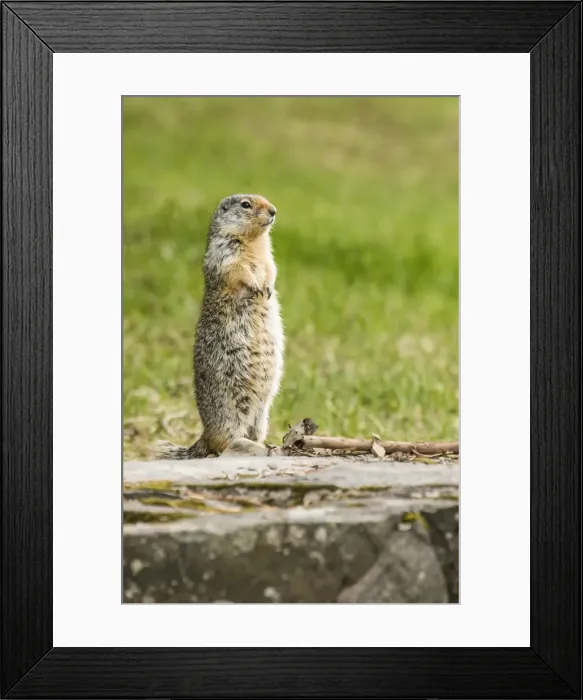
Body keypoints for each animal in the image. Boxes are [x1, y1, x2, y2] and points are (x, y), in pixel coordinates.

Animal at [157, 193, 284, 459]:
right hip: (231, 419)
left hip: (260, 420)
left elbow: (271, 269)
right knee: (222, 446)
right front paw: (256, 287)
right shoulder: (226, 253)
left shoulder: (268, 257)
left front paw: (267, 287)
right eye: (246, 204)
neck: (254, 241)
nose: (274, 211)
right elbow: (238, 270)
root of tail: (204, 436)